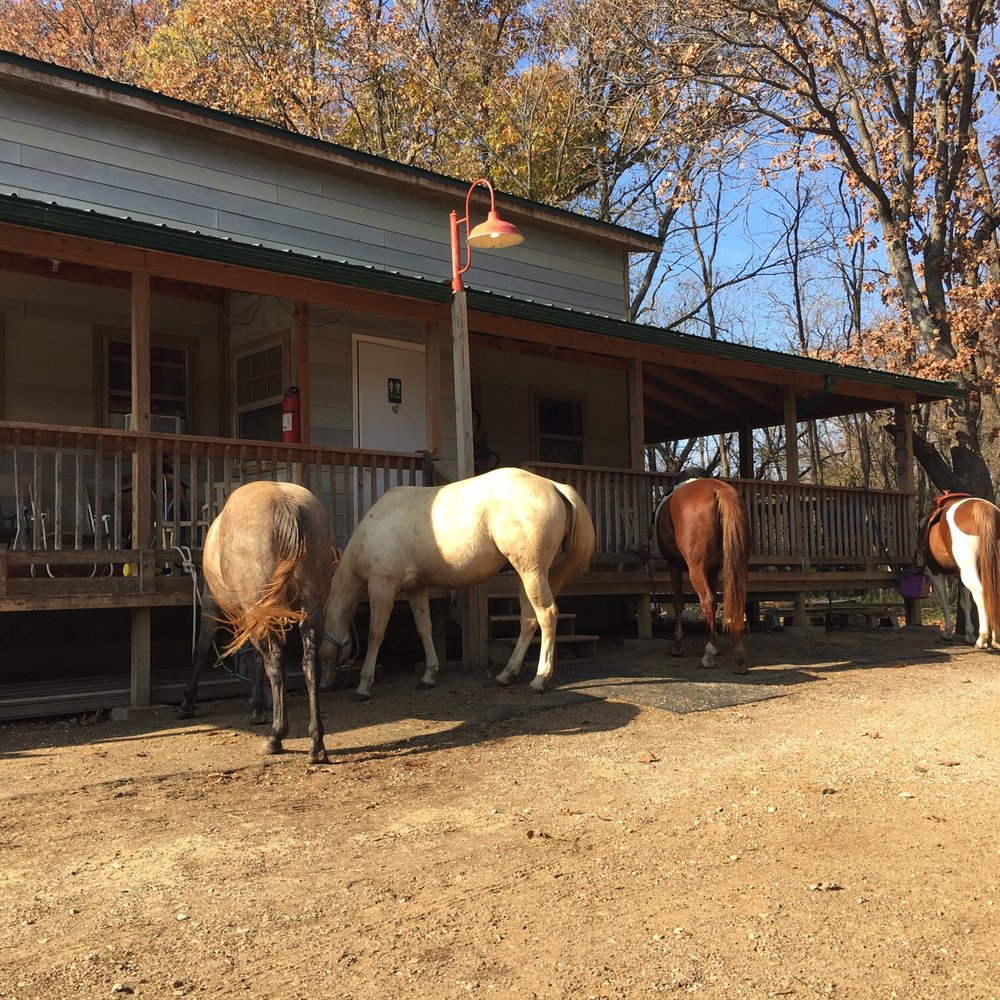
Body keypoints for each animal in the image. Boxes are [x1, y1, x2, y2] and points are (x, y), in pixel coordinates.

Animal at [176, 481, 334, 763]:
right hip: (310, 608)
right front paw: (259, 706)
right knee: (309, 663)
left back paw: (276, 736)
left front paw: (187, 702)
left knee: (276, 663)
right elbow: (256, 660)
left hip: (257, 607)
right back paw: (316, 743)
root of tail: (285, 504)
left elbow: (202, 649)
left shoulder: (211, 602)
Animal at [319, 466, 596, 698]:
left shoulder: (382, 585)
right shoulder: (416, 589)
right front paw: (428, 676)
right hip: (527, 574)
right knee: (529, 619)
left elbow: (376, 633)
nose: (323, 684)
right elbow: (424, 628)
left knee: (547, 615)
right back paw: (506, 675)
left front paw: (364, 685)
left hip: (532, 572)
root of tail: (554, 485)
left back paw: (539, 679)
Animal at [653, 476, 751, 673]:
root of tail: (718, 489)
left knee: (707, 600)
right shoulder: (712, 569)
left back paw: (708, 655)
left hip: (695, 567)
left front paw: (677, 645)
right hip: (738, 566)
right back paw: (739, 658)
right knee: (737, 601)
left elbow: (678, 601)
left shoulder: (674, 566)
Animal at [918, 491, 1000, 649]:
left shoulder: (934, 572)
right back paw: (996, 639)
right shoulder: (960, 576)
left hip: (968, 570)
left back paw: (982, 639)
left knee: (980, 593)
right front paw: (969, 635)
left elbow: (943, 600)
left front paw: (947, 632)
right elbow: (965, 603)